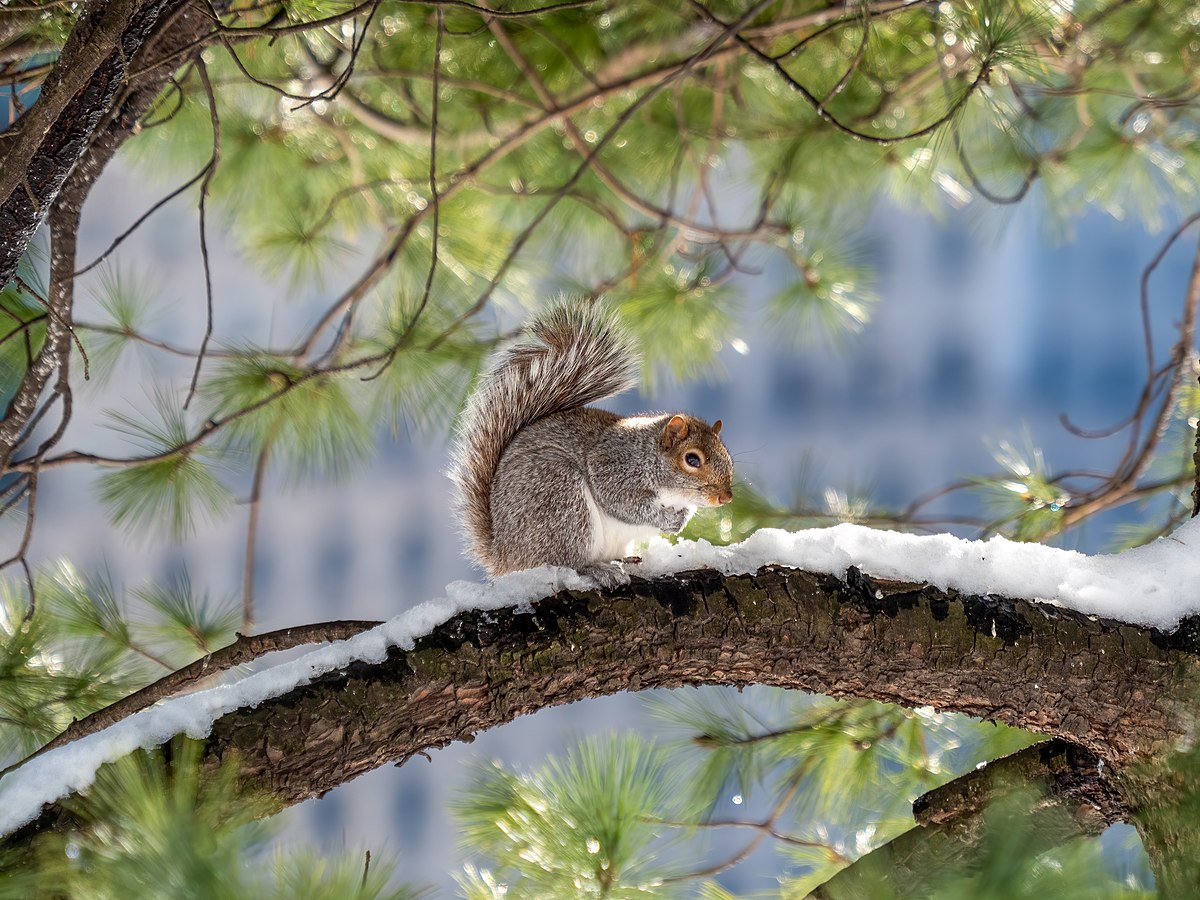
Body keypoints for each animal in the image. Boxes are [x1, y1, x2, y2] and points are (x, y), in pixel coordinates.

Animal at [448, 300, 729, 588]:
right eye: (692, 459)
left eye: (727, 456)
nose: (726, 497)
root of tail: (504, 555)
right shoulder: (613, 466)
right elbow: (623, 503)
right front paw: (666, 519)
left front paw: (680, 520)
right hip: (562, 500)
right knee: (568, 561)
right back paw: (598, 569)